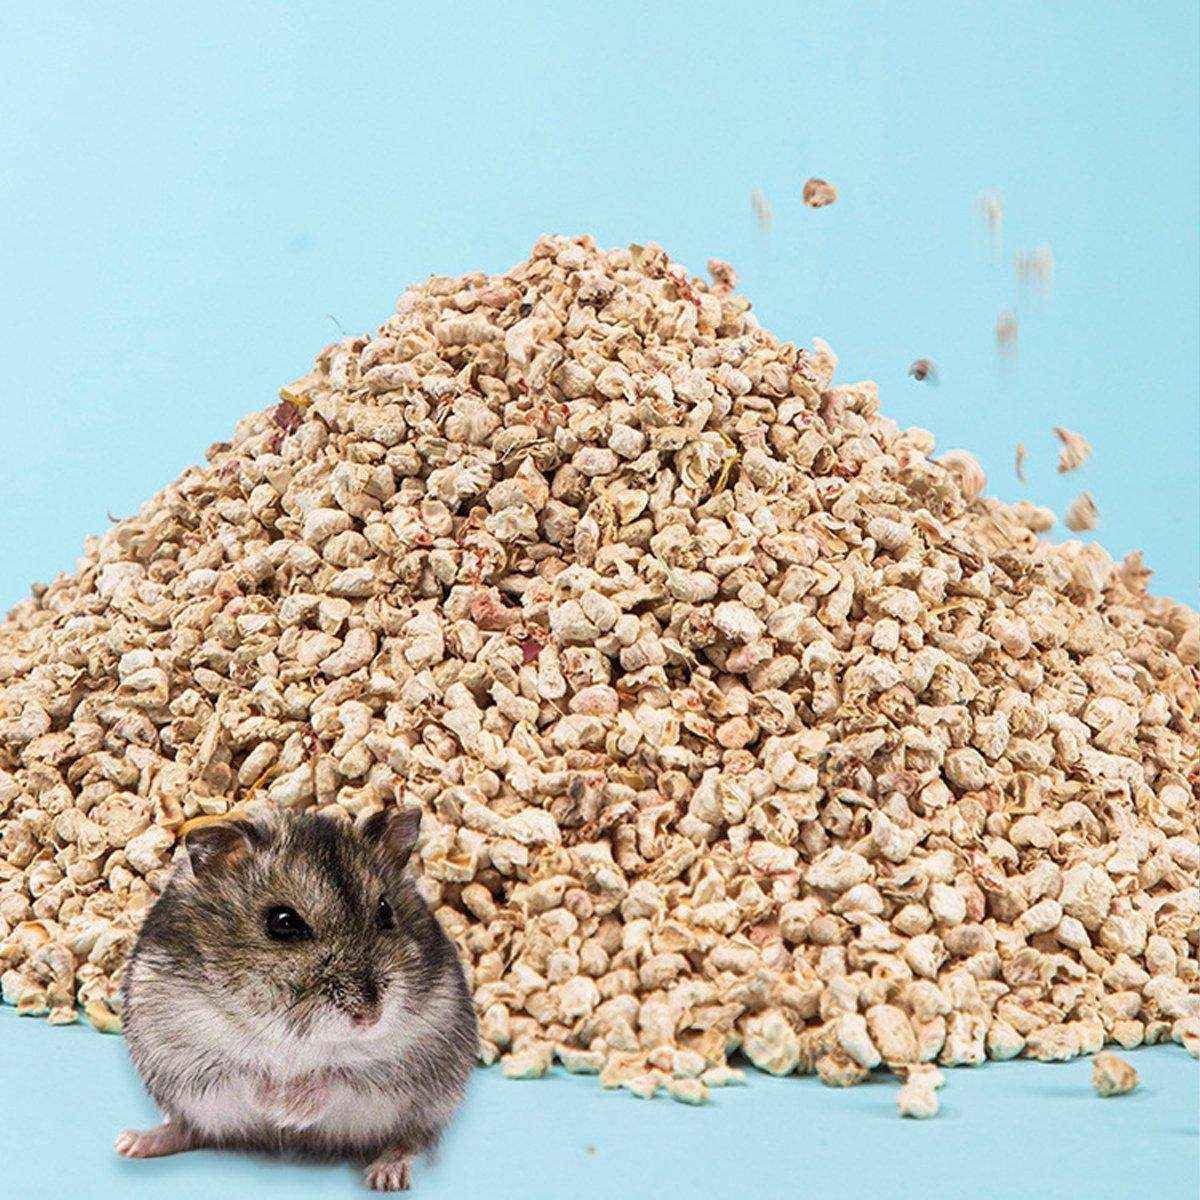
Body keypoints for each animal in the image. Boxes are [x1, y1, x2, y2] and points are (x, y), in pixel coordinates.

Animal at [116, 805, 477, 1192]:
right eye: (283, 922)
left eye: (386, 911)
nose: (370, 1016)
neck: (299, 1042)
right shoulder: (189, 1043)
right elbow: (245, 1072)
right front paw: (278, 1108)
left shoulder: (412, 1048)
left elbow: (340, 1075)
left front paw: (293, 1112)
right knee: (191, 1129)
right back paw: (132, 1143)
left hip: (430, 1103)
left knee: (413, 1137)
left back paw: (387, 1174)